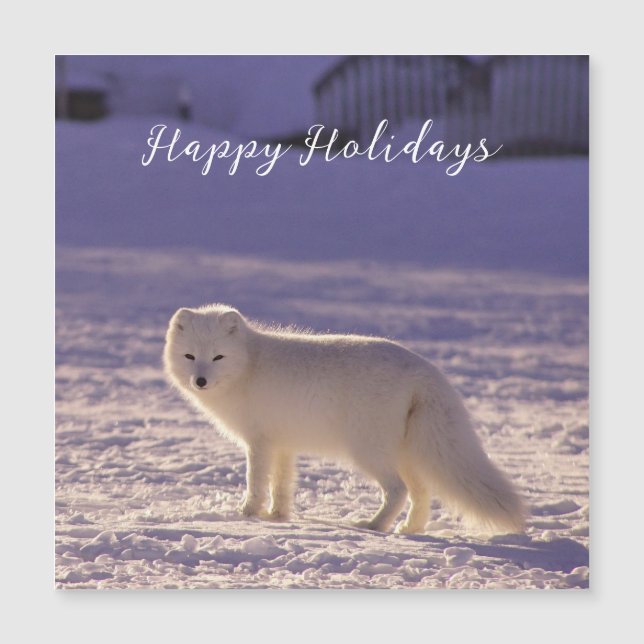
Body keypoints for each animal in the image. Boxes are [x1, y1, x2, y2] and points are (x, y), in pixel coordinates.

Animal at [163, 304, 525, 534]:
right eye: (190, 356)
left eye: (218, 357)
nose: (200, 381)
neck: (249, 365)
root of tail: (425, 370)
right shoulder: (283, 444)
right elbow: (282, 484)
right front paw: (278, 516)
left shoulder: (260, 442)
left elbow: (256, 481)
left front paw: (247, 514)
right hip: (406, 453)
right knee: (421, 492)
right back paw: (410, 529)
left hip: (367, 450)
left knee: (398, 490)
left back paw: (375, 526)